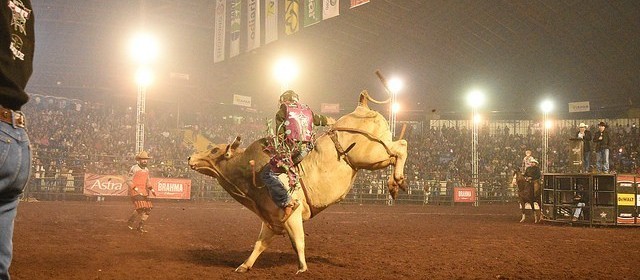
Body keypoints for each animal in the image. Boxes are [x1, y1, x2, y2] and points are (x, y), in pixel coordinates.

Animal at [188, 90, 408, 274]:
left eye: (214, 150)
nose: (190, 158)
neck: (250, 174)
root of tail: (361, 107)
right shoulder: (272, 220)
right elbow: (259, 245)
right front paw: (244, 265)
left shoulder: (292, 214)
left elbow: (298, 241)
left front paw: (302, 268)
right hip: (376, 158)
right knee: (395, 152)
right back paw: (395, 185)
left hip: (370, 154)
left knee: (401, 147)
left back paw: (396, 181)